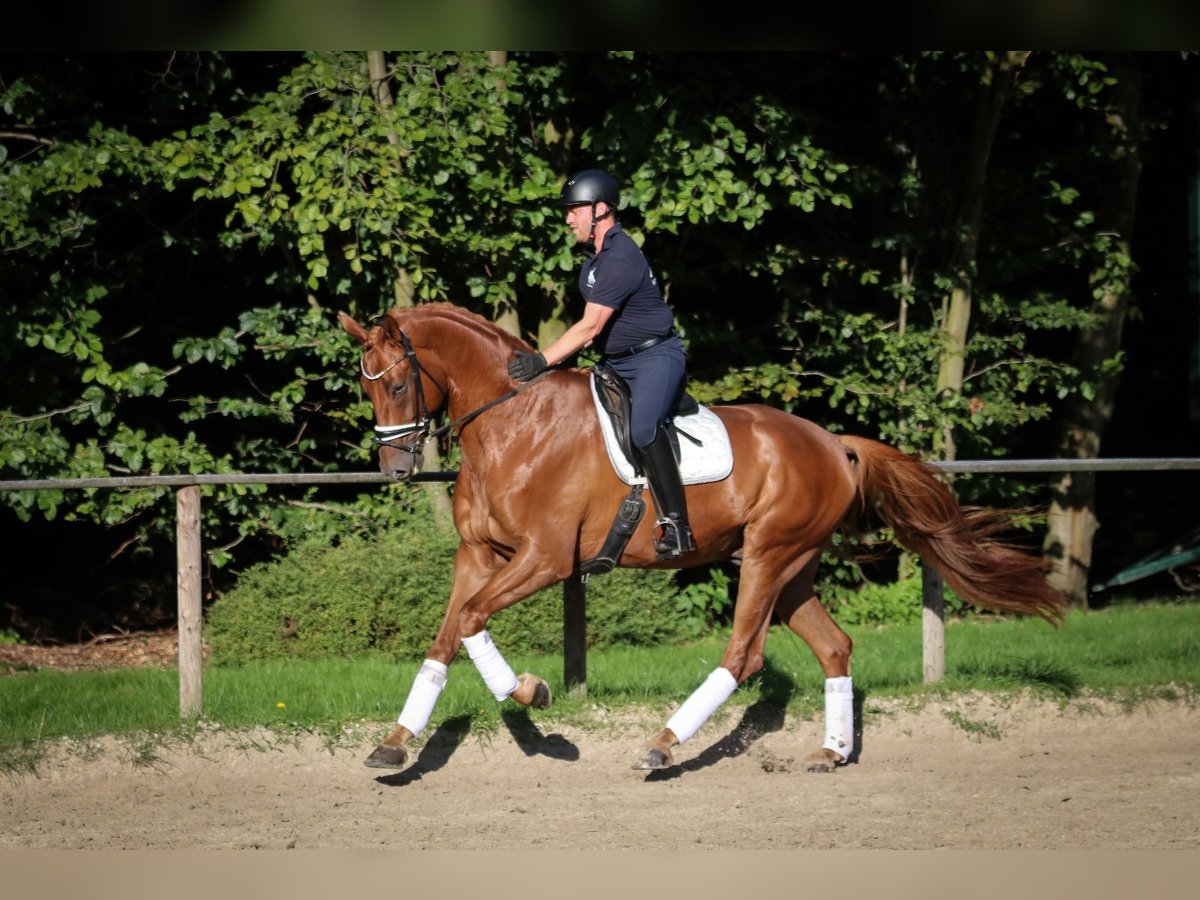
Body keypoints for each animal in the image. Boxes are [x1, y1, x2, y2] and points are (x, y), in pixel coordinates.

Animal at [340, 303, 1070, 777]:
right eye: (366, 388)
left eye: (398, 383)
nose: (396, 470)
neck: (514, 422)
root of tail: (833, 443)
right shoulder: (478, 556)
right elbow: (448, 634)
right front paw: (395, 743)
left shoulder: (544, 559)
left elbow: (470, 619)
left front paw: (529, 692)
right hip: (791, 568)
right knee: (834, 646)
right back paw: (830, 752)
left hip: (769, 556)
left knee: (744, 655)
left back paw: (663, 744)